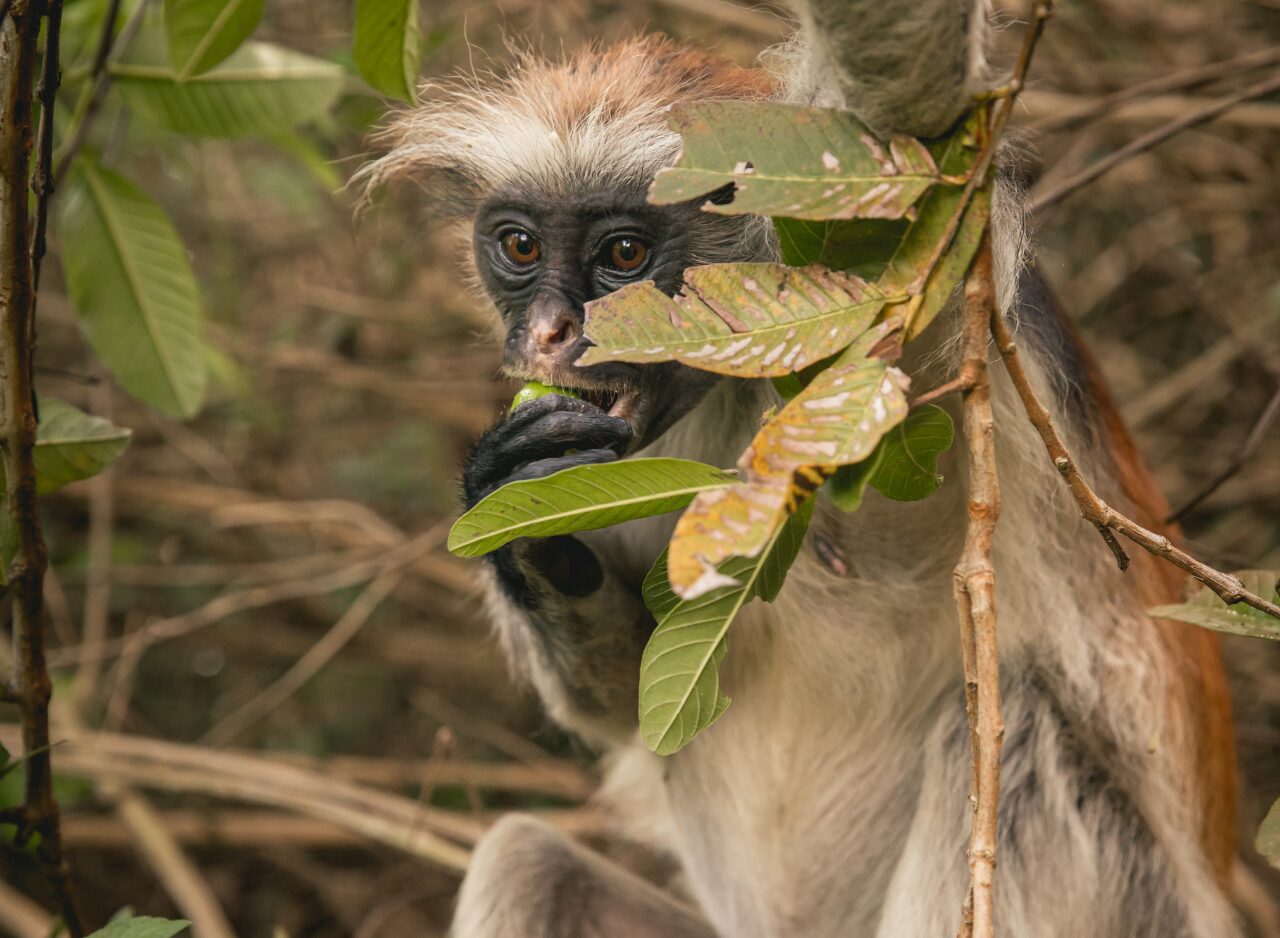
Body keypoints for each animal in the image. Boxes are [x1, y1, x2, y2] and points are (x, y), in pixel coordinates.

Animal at [359, 3, 1240, 936]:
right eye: (520, 247)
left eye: (625, 255)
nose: (550, 333)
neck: (740, 399)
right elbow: (624, 700)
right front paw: (524, 506)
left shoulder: (891, 298)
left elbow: (908, 97)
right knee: (528, 861)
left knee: (1029, 738)